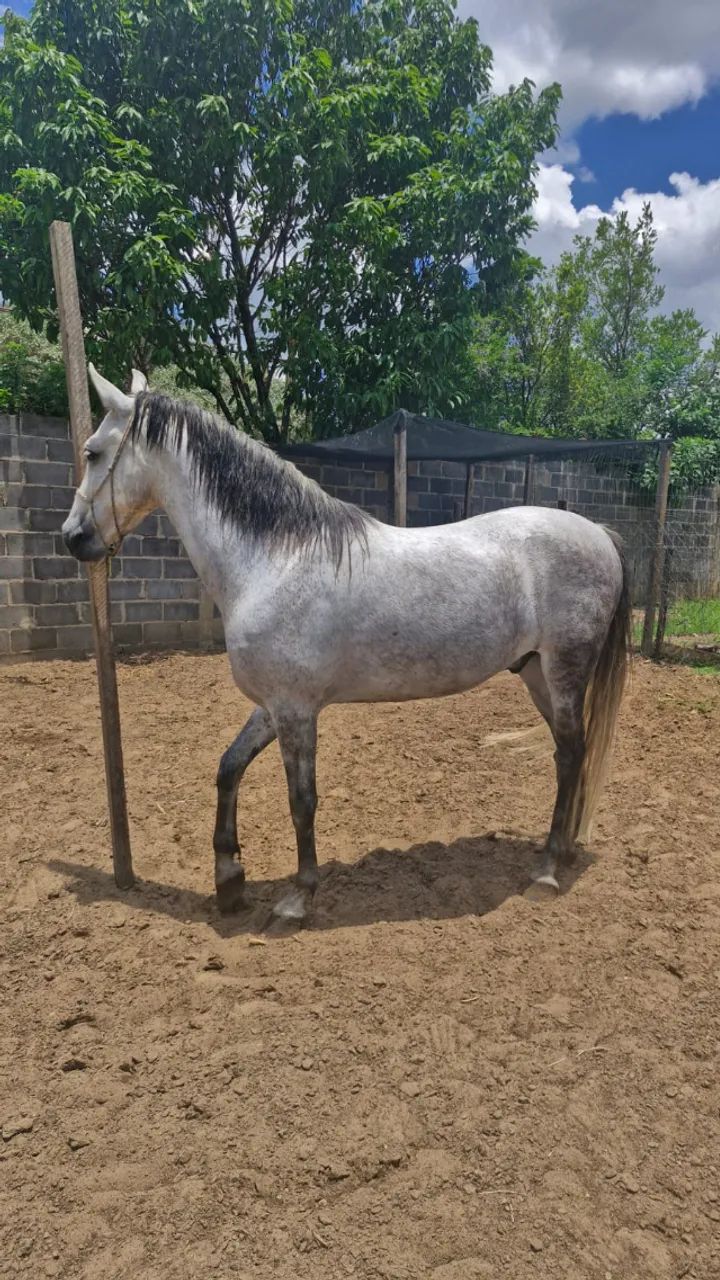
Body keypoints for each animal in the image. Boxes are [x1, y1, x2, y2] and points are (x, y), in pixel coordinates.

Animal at [62, 366, 631, 922]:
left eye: (92, 452)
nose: (73, 537)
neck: (276, 557)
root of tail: (597, 533)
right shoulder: (273, 706)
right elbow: (228, 769)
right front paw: (229, 881)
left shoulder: (296, 711)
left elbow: (301, 800)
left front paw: (297, 899)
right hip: (535, 673)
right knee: (571, 753)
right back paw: (562, 852)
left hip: (563, 671)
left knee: (570, 754)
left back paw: (547, 871)